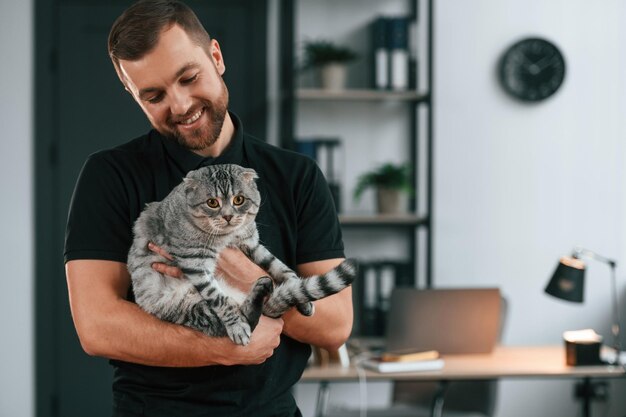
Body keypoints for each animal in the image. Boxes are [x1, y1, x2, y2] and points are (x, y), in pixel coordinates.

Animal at [127, 162, 356, 344]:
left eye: (239, 200)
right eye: (212, 202)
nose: (228, 216)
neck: (229, 236)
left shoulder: (252, 244)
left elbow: (281, 268)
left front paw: (303, 299)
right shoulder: (194, 262)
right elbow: (218, 298)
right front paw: (236, 325)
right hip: (188, 307)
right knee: (235, 317)